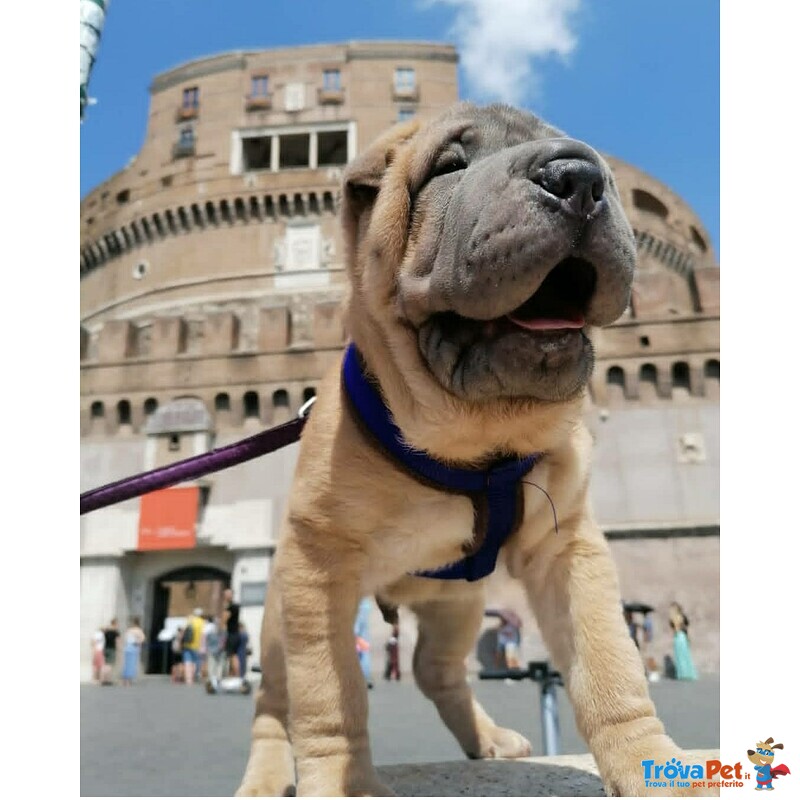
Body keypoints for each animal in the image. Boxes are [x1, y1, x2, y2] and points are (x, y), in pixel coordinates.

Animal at [238, 103, 712, 796]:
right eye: (450, 167)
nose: (578, 176)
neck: (476, 444)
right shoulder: (317, 566)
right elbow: (330, 696)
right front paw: (345, 780)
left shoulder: (568, 549)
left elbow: (610, 665)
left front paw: (650, 764)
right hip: (278, 619)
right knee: (276, 703)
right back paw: (266, 774)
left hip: (457, 609)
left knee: (434, 669)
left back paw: (486, 739)